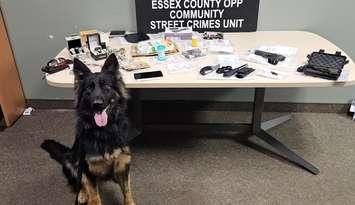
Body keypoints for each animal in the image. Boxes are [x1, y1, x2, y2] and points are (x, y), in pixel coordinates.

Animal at [41, 54, 136, 205]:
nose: (97, 104)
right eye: (88, 89)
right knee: (80, 182)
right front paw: (89, 196)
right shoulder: (87, 168)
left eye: (106, 86)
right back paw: (82, 194)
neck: (104, 131)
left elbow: (127, 193)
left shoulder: (123, 164)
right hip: (72, 162)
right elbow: (94, 195)